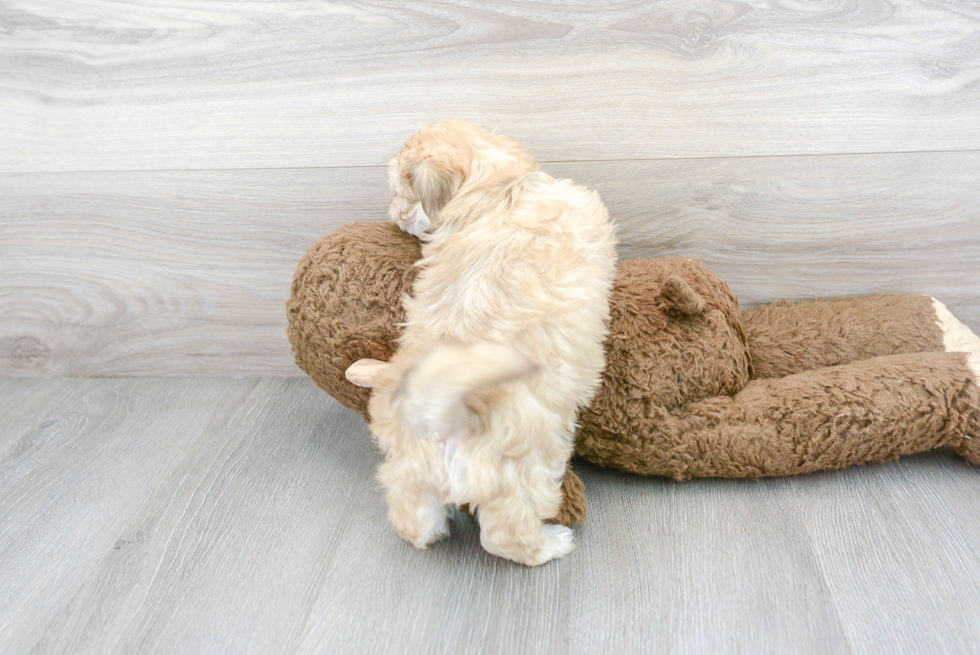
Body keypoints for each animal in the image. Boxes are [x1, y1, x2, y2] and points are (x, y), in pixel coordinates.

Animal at [348, 119, 616, 568]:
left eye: (401, 194)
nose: (391, 213)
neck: (500, 193)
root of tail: (439, 415)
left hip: (408, 466)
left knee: (412, 517)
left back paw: (425, 533)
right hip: (525, 467)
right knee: (506, 534)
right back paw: (552, 544)